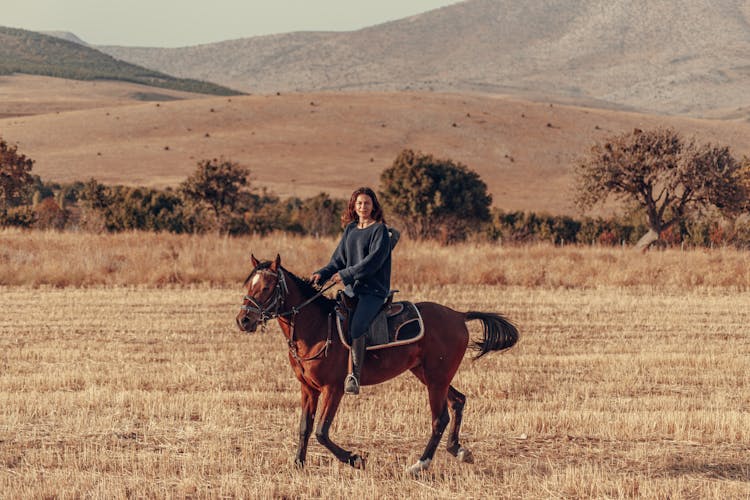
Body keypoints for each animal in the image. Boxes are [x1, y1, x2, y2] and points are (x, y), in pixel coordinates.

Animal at [235, 256, 516, 474]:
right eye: (249, 284)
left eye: (268, 286)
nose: (243, 320)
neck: (315, 327)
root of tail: (458, 315)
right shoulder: (309, 389)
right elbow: (305, 427)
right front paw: (298, 464)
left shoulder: (334, 389)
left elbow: (321, 432)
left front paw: (355, 459)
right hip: (429, 374)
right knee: (458, 401)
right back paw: (458, 450)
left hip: (436, 379)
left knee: (440, 418)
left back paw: (420, 465)